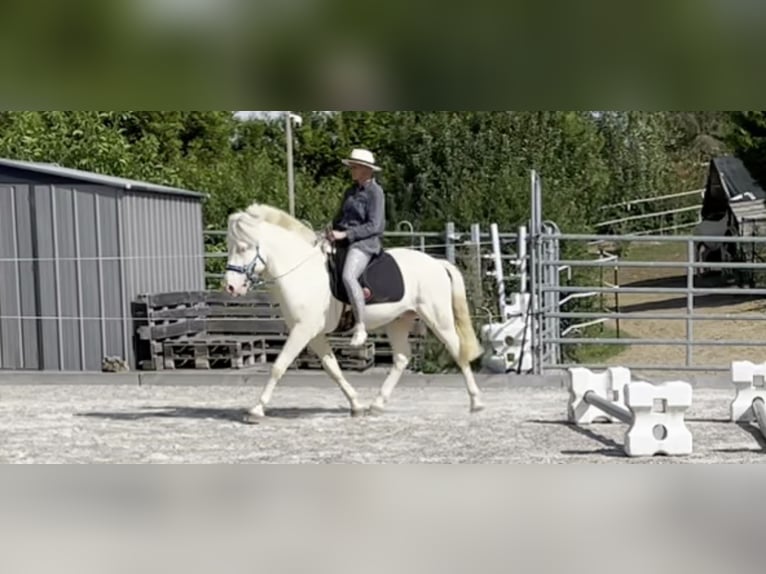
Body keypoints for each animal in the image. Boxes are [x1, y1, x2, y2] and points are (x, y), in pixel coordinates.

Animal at [225, 202, 486, 424]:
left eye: (243, 247)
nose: (231, 287)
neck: (302, 271)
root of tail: (436, 262)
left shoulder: (303, 330)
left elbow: (279, 366)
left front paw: (256, 410)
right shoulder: (314, 334)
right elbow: (333, 369)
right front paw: (356, 405)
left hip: (438, 318)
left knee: (457, 350)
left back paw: (476, 402)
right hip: (399, 321)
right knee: (402, 357)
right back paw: (377, 405)